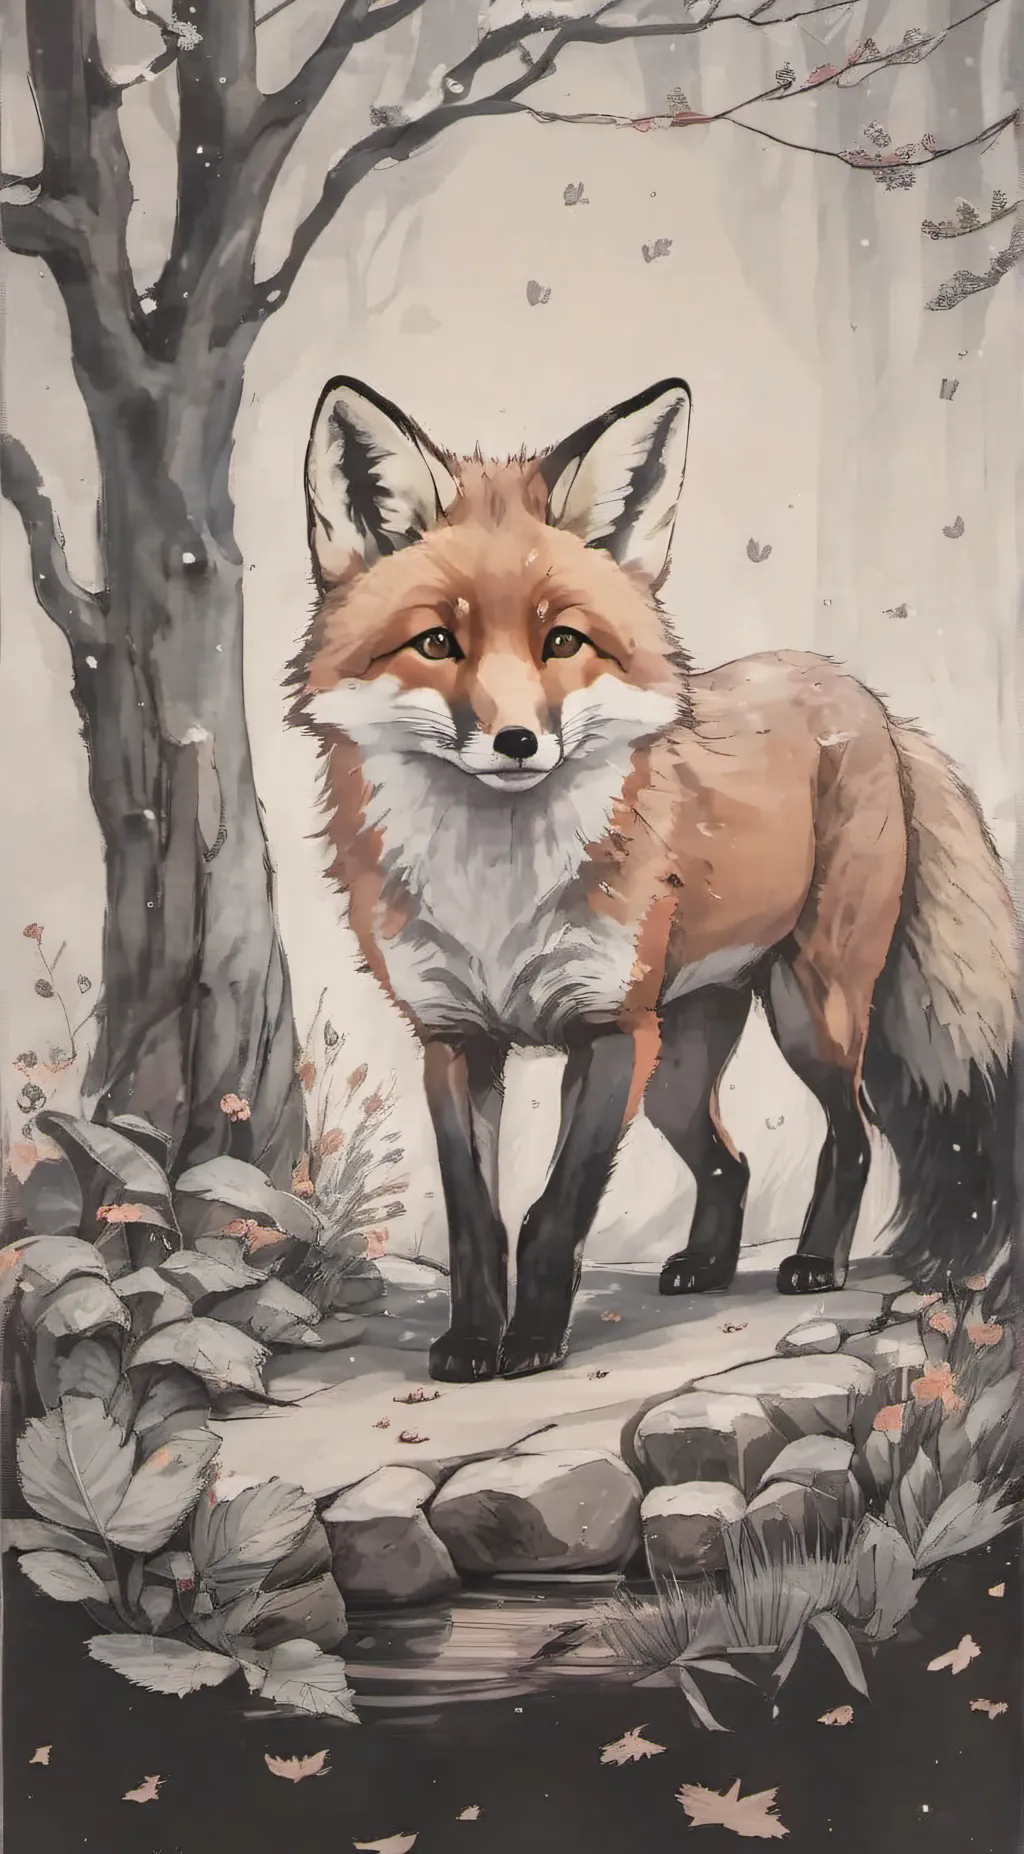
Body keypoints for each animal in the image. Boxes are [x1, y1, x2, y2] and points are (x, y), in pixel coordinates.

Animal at [288, 373, 1016, 1384]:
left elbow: (553, 1212)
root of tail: (865, 698)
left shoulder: (606, 1031)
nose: (518, 742)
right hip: (678, 1064)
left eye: (562, 642)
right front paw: (472, 1343)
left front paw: (533, 1343)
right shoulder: (455, 1038)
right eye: (436, 643)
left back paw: (816, 1262)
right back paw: (707, 1265)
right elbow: (478, 1220)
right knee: (729, 1162)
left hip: (809, 1014)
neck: (495, 896)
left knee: (855, 1132)